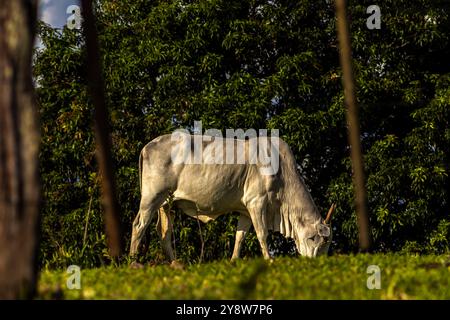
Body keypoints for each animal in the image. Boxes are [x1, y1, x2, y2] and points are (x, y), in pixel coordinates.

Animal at [130, 132, 334, 260]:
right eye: (315, 239)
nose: (315, 263)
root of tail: (146, 147)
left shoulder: (245, 211)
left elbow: (240, 237)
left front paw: (234, 261)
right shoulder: (257, 202)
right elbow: (262, 234)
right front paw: (269, 260)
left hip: (167, 203)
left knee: (164, 232)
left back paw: (175, 264)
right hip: (151, 197)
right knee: (139, 225)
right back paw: (133, 261)